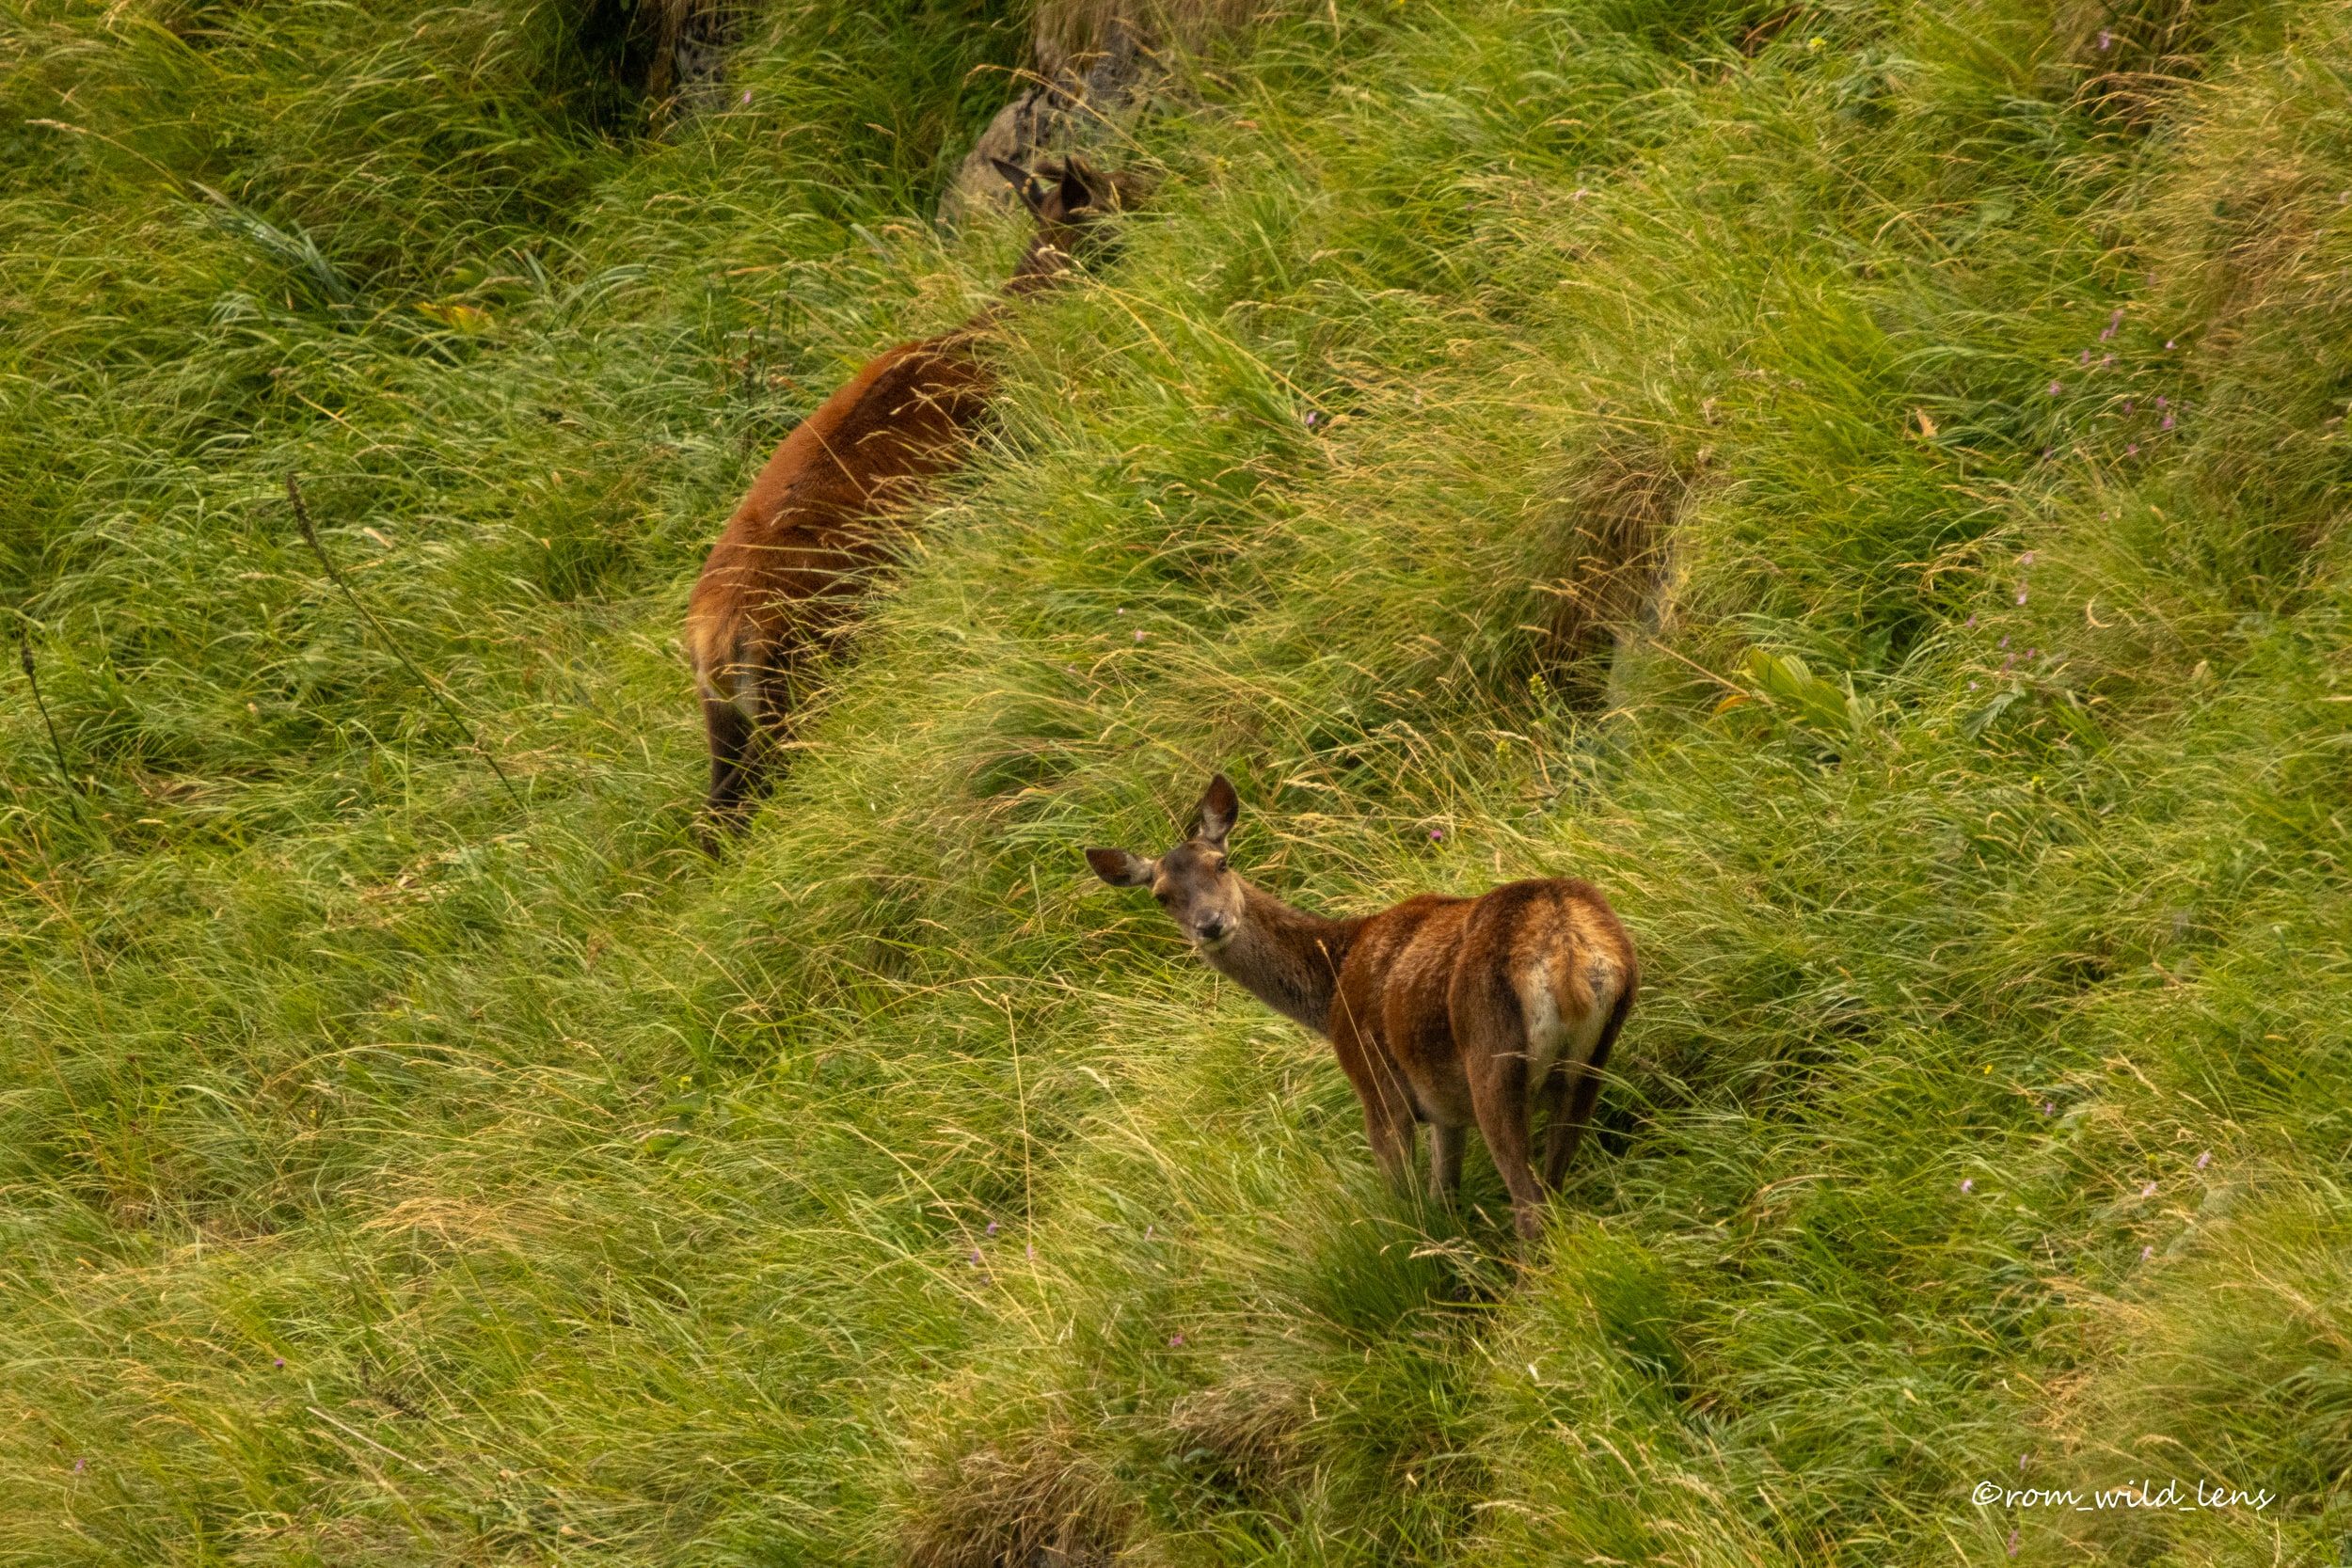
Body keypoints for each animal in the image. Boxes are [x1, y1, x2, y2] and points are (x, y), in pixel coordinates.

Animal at [687, 156, 1126, 833]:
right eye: (1124, 187)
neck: (1002, 331)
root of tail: (714, 635)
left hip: (728, 717)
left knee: (719, 811)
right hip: (805, 679)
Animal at [1087, 775, 1638, 1240]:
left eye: (1221, 863)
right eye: (1161, 896)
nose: (1210, 923)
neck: (1333, 983)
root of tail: (1567, 943)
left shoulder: (1376, 1087)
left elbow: (1408, 1202)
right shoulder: (1446, 1110)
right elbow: (1444, 1196)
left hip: (1494, 1056)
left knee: (1529, 1205)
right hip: (1593, 1059)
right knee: (1554, 1187)